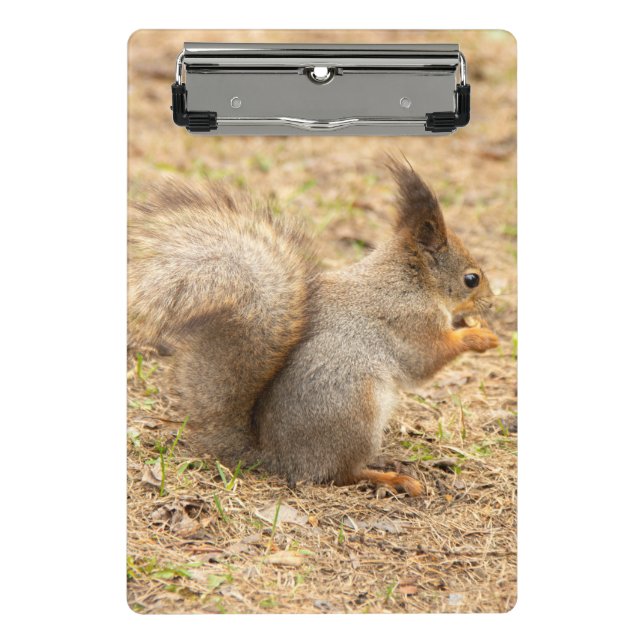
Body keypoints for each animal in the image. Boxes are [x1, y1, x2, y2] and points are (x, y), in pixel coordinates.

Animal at [128, 158, 499, 496]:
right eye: (471, 279)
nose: (491, 303)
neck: (412, 280)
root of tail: (278, 459)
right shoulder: (410, 321)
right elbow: (427, 359)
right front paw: (479, 336)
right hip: (355, 411)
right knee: (341, 474)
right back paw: (391, 478)